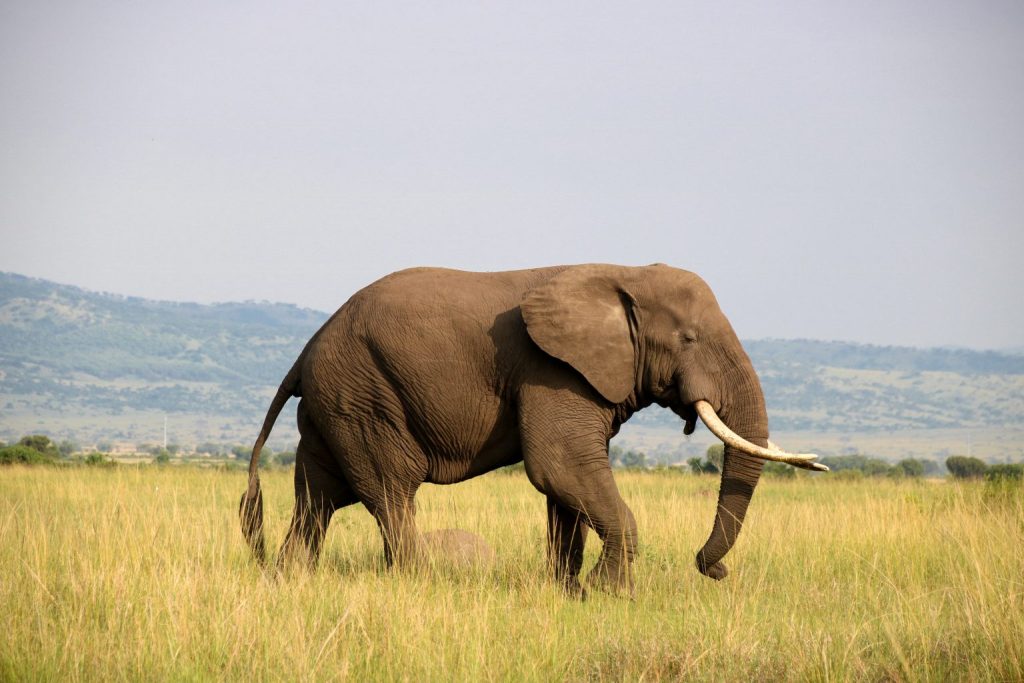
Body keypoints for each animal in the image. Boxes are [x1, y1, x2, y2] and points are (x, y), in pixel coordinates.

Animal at [239, 264, 824, 595]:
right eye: (688, 337)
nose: (713, 571)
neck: (622, 273)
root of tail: (305, 351)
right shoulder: (552, 369)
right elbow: (560, 466)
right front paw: (612, 596)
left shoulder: (575, 374)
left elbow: (568, 485)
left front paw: (570, 594)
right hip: (363, 395)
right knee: (389, 492)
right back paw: (417, 583)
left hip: (336, 402)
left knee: (317, 498)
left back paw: (288, 582)